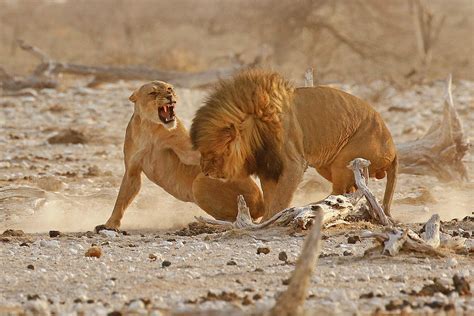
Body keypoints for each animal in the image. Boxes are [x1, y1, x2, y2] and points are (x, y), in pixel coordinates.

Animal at [95, 80, 266, 231]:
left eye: (169, 88)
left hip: (200, 183)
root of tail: (262, 203)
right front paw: (110, 225)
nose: (169, 96)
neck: (151, 128)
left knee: (237, 218)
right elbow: (122, 198)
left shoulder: (187, 151)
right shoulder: (132, 169)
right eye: (153, 92)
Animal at [191, 70, 398, 221]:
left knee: (340, 194)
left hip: (347, 160)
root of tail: (394, 149)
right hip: (327, 166)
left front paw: (270, 220)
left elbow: (280, 199)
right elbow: (271, 197)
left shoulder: (293, 164)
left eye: (212, 153)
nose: (206, 172)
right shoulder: (268, 167)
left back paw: (318, 206)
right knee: (350, 191)